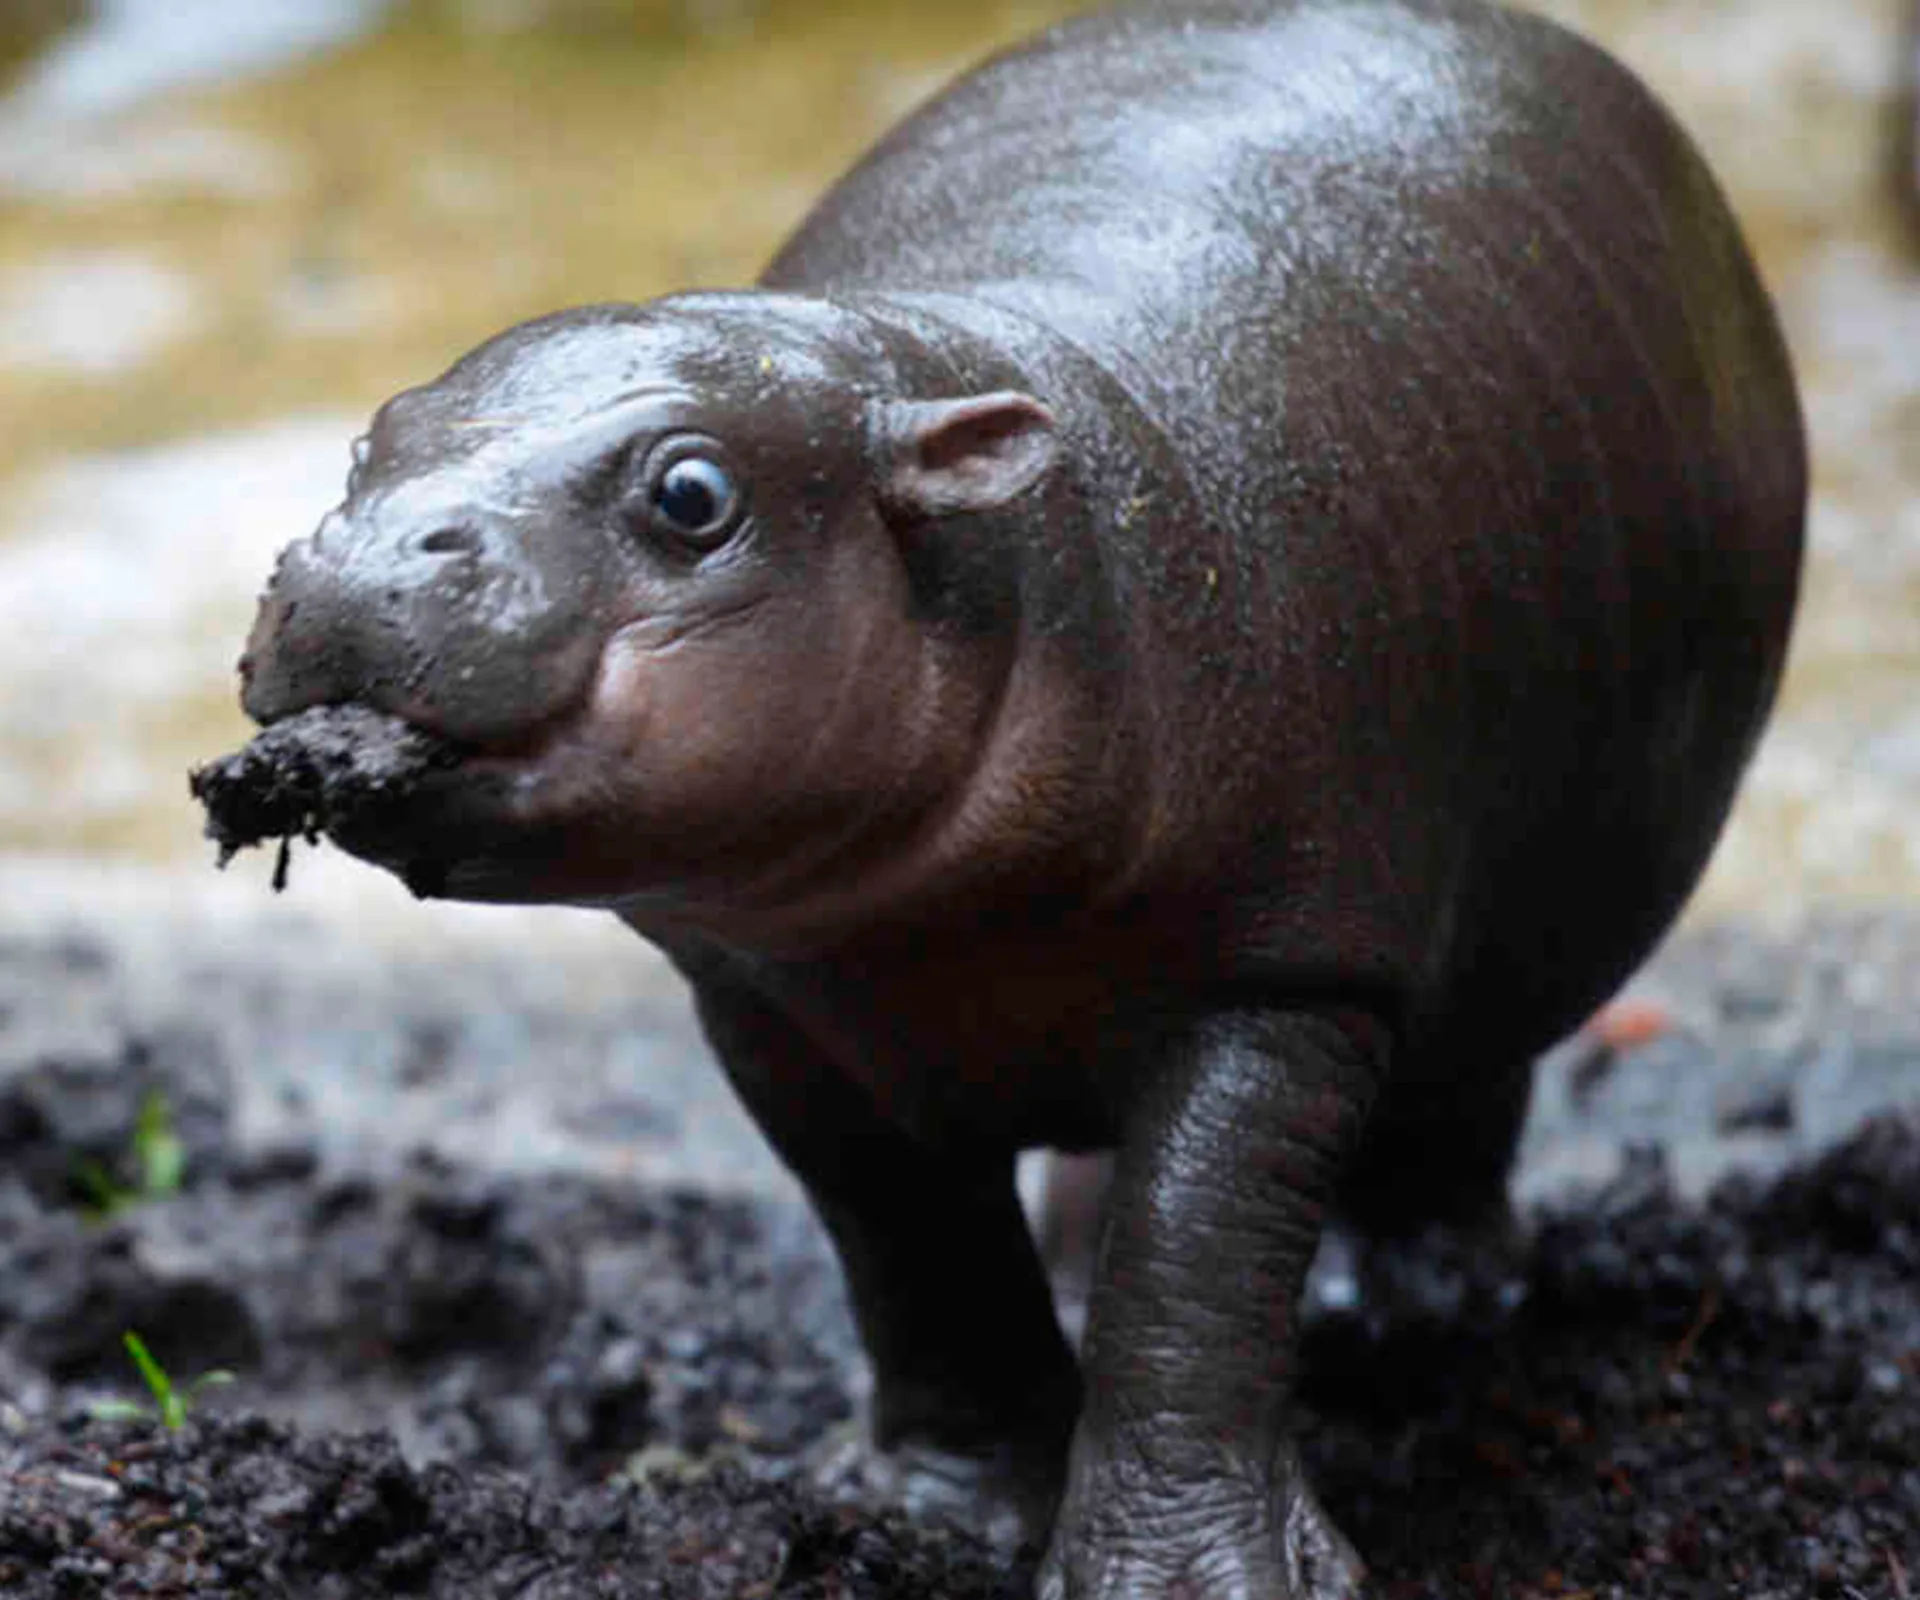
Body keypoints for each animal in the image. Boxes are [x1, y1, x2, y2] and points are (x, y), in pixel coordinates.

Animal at [198, 0, 1806, 1592]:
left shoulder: (1287, 975)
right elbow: (914, 1248)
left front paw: (1188, 1578)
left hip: (1514, 911)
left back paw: (1394, 1297)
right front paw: (938, 1511)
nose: (360, 557)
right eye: (369, 440)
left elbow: (1194, 1265)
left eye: (692, 494)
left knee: (1462, 1090)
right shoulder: (771, 1004)